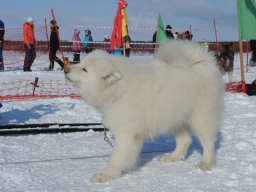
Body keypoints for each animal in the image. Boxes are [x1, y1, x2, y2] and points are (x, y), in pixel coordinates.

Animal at [65, 40, 223, 183]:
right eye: (80, 63)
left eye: (85, 69)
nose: (65, 69)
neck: (120, 90)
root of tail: (201, 63)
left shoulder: (126, 133)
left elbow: (116, 157)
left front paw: (106, 175)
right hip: (175, 117)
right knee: (185, 140)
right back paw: (172, 158)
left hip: (201, 118)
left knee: (208, 143)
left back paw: (206, 164)